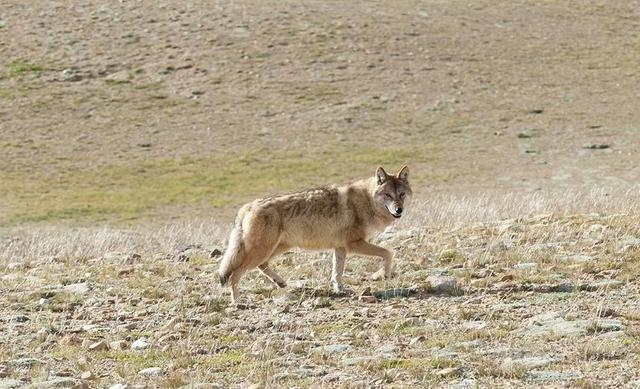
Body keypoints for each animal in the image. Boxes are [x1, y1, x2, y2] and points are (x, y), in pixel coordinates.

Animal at [218, 165, 412, 302]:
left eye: (402, 194)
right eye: (388, 195)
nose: (399, 210)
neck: (367, 201)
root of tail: (247, 206)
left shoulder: (340, 248)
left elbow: (337, 273)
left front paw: (340, 289)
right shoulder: (354, 244)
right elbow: (388, 253)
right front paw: (384, 275)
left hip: (275, 248)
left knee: (261, 265)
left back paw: (280, 282)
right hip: (263, 250)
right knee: (235, 274)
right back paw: (237, 301)